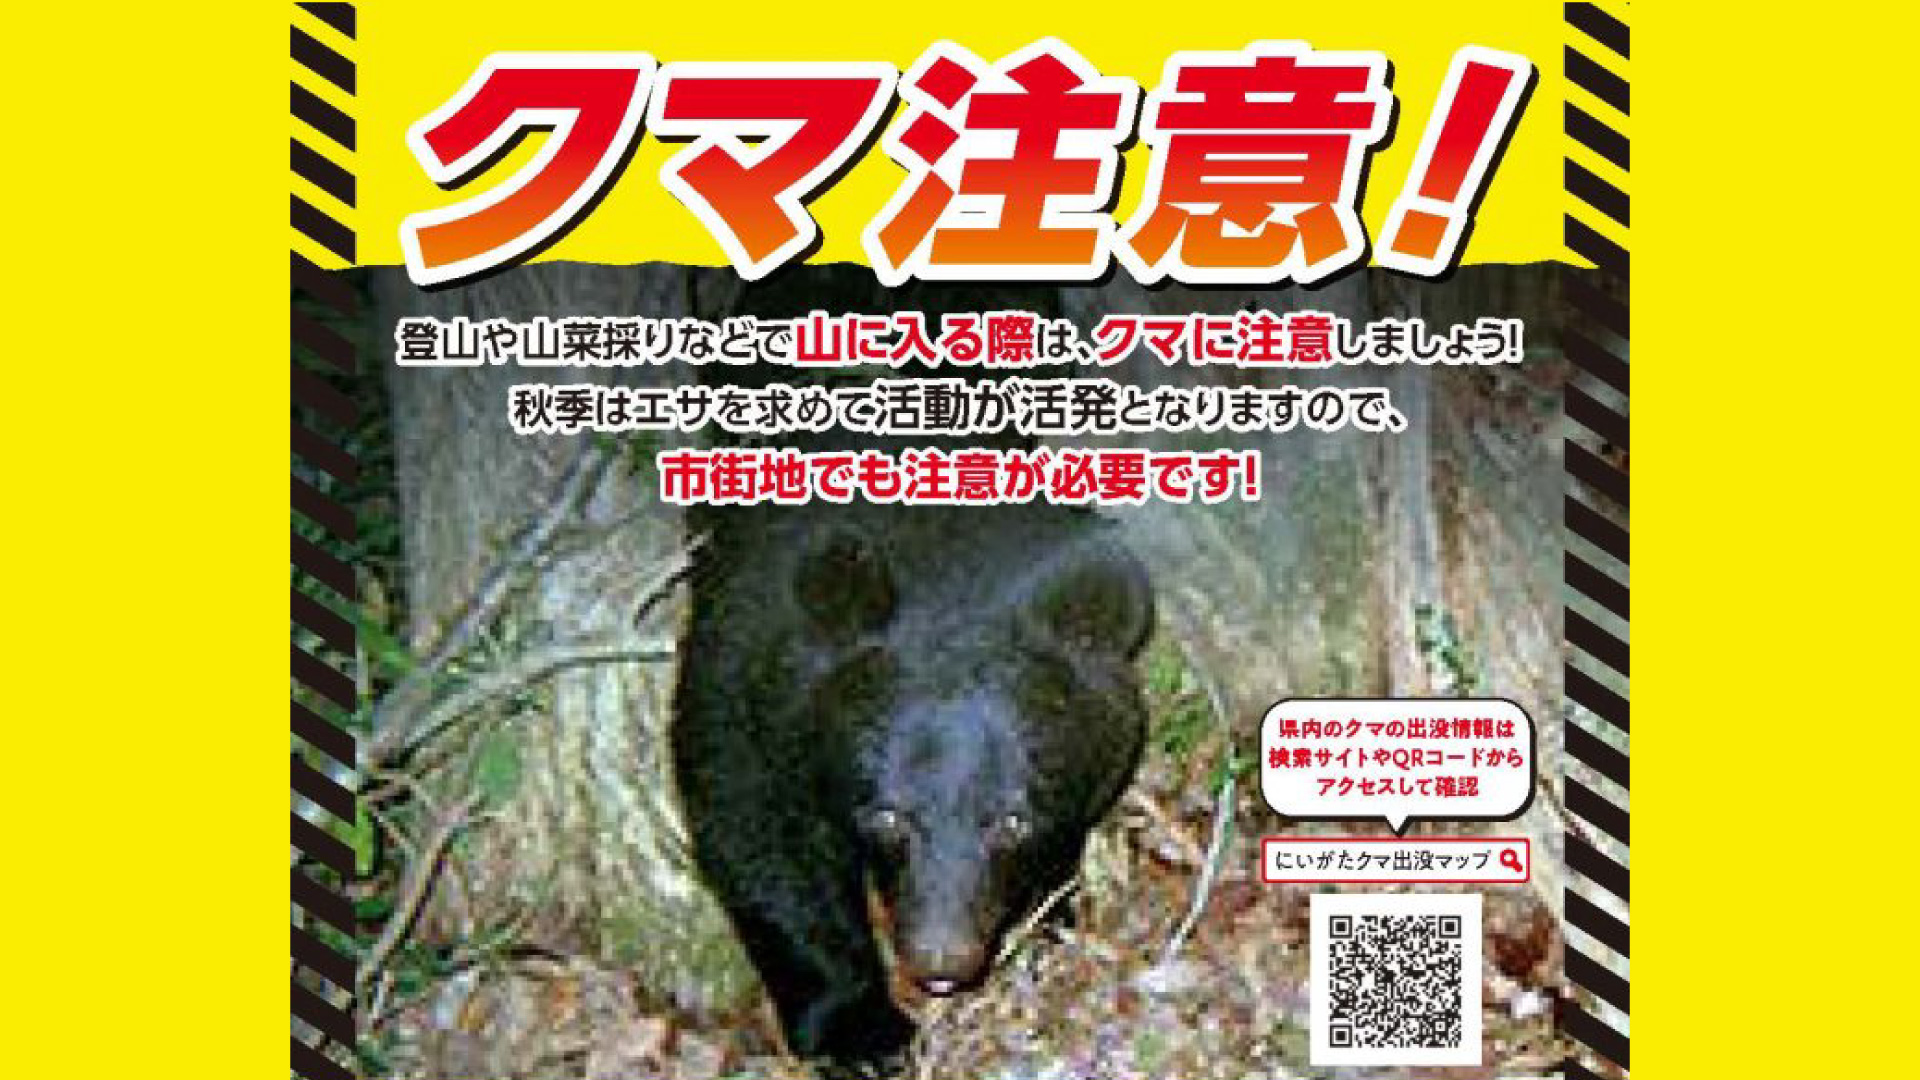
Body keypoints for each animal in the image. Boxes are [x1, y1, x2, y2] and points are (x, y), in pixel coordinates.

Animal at [671, 499, 1152, 1076]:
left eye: (1013, 821)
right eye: (887, 816)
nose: (941, 958)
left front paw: (1047, 919)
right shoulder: (746, 685)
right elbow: (759, 839)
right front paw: (862, 1032)